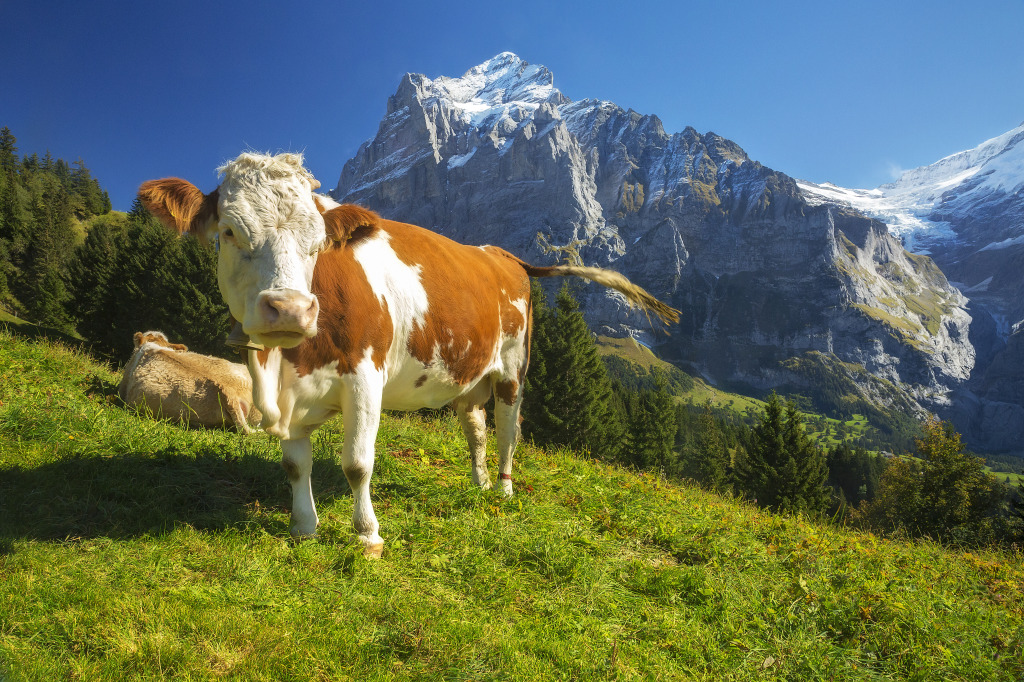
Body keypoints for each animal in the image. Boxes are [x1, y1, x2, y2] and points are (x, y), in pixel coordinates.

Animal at [138, 151, 679, 557]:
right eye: (229, 231)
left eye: (318, 242)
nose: (290, 308)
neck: (280, 369)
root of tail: (504, 255)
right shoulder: (292, 392)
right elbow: (295, 466)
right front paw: (304, 527)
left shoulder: (364, 377)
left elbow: (358, 463)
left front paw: (368, 535)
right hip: (468, 375)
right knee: (477, 430)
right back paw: (480, 484)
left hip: (513, 368)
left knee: (509, 430)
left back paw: (504, 490)